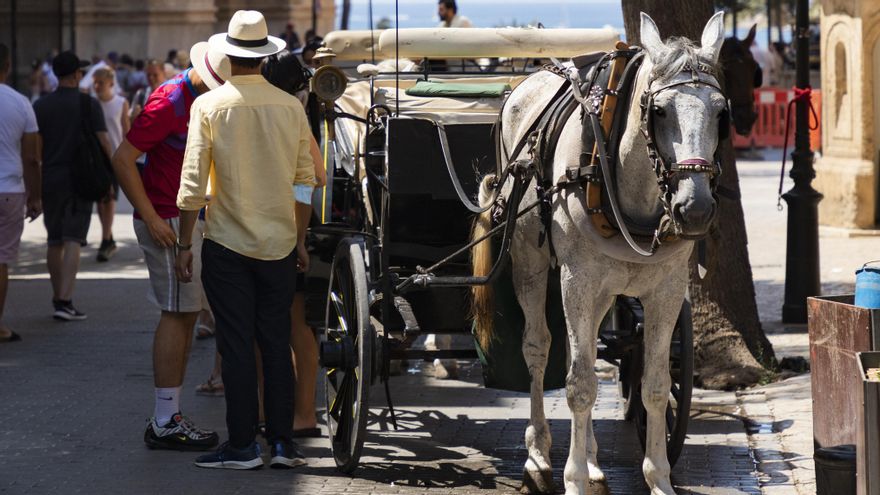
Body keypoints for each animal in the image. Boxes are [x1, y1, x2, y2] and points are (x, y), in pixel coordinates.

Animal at [471, 12, 727, 495]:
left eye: (722, 112)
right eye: (659, 111)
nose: (696, 208)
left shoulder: (666, 291)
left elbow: (656, 385)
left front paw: (658, 477)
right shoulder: (578, 280)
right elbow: (580, 386)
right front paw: (571, 478)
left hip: (604, 290)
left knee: (585, 351)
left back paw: (591, 461)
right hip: (533, 267)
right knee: (540, 349)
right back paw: (539, 457)